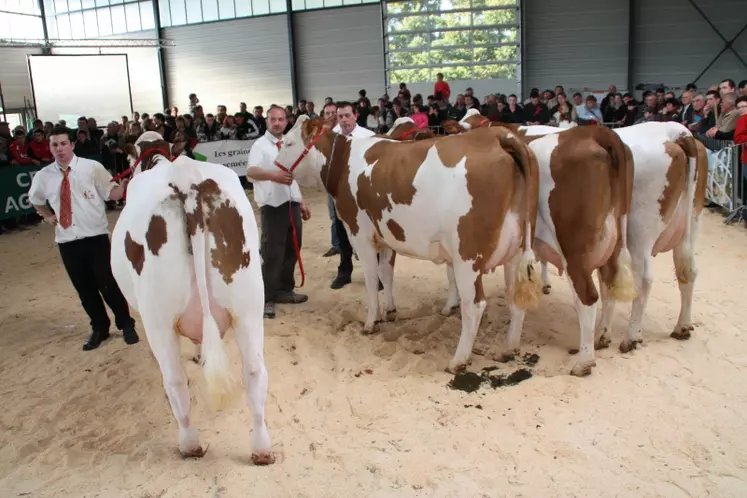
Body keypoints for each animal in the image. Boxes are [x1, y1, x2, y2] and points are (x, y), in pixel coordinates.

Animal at [111, 131, 274, 462]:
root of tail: (186, 180)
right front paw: (201, 354)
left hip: (158, 318)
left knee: (175, 380)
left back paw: (189, 443)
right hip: (249, 305)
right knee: (255, 373)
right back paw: (262, 448)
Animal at [274, 117, 544, 374]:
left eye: (287, 143)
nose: (274, 167)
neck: (344, 162)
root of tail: (498, 136)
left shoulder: (360, 233)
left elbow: (372, 280)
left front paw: (371, 322)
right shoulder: (385, 236)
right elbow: (386, 274)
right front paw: (390, 311)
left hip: (467, 255)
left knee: (475, 305)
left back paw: (458, 361)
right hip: (517, 250)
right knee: (516, 299)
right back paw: (508, 349)